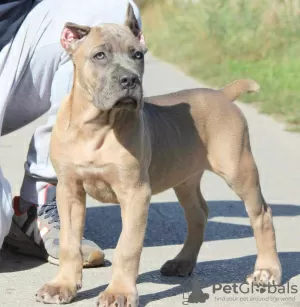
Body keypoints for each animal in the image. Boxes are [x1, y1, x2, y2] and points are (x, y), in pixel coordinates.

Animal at [35, 3, 282, 306]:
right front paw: (63, 286)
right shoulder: (69, 190)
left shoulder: (135, 194)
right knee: (198, 214)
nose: (130, 79)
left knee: (262, 214)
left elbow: (127, 247)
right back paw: (182, 262)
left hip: (239, 169)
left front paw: (119, 292)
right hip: (186, 178)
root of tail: (223, 94)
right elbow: (70, 243)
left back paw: (267, 271)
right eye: (99, 55)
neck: (95, 126)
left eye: (137, 55)